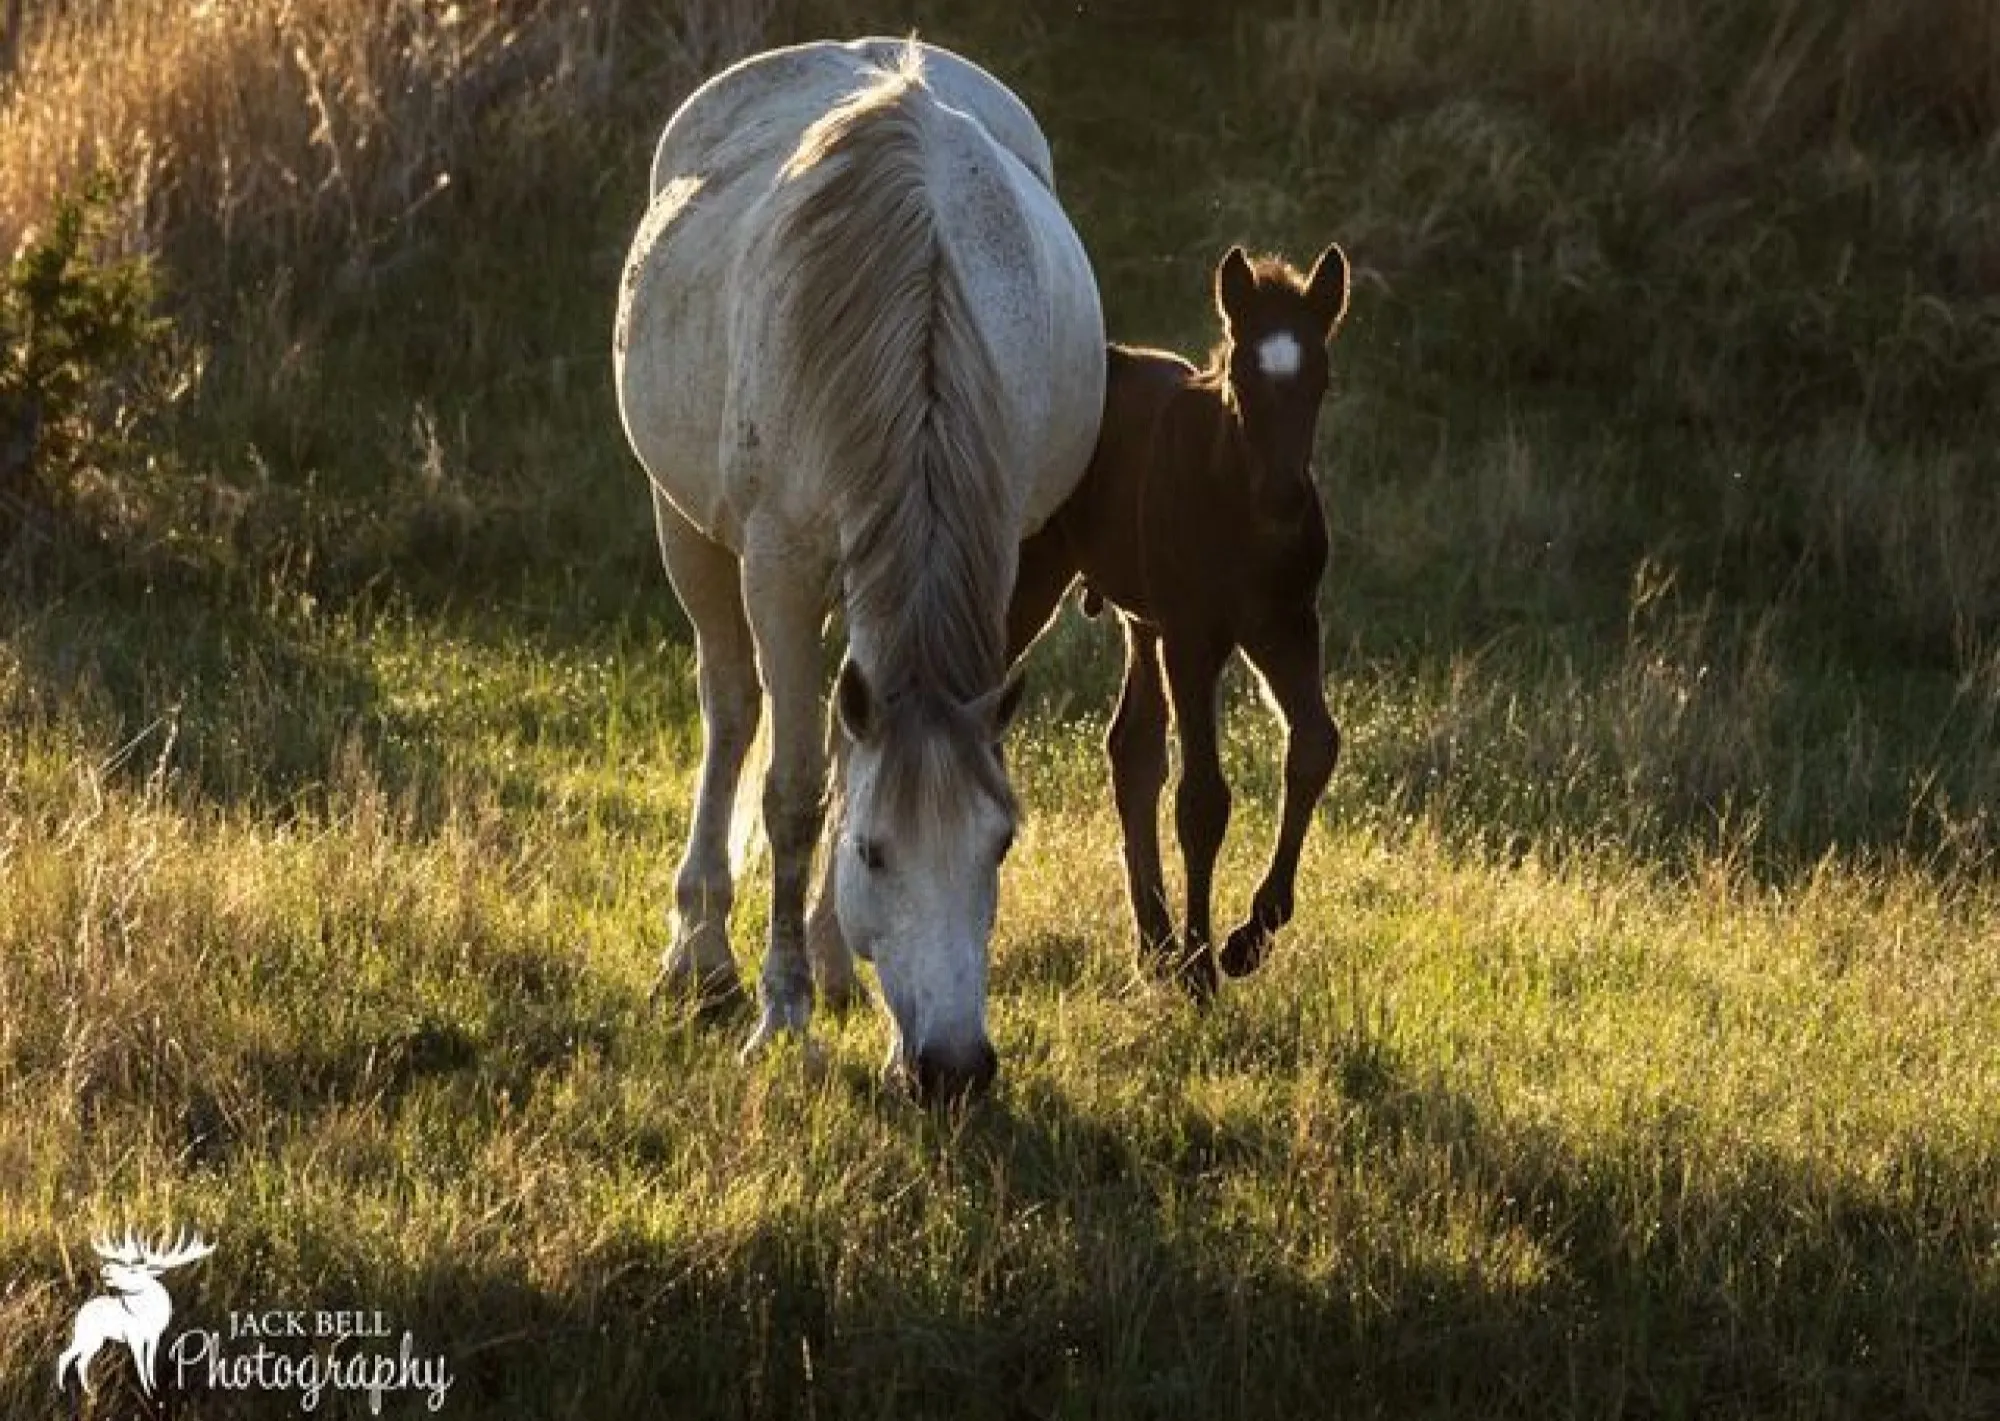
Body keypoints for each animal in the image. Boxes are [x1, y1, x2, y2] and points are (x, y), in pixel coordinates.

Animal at [612, 33, 1112, 1104]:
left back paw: (831, 965)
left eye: (1001, 844)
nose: (954, 1069)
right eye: (875, 856)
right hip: (688, 532)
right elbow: (795, 794)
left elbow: (848, 770)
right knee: (731, 709)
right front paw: (782, 1017)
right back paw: (701, 952)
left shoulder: (999, 562)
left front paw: (842, 991)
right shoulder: (780, 568)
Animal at [1016, 245, 1344, 1000]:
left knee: (1131, 750)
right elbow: (1202, 799)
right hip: (1033, 580)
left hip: (1143, 623)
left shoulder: (1285, 626)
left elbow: (1315, 744)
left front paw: (1250, 935)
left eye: (1320, 379)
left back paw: (1153, 943)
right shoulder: (1195, 636)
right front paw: (1202, 965)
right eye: (1240, 380)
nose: (1283, 496)